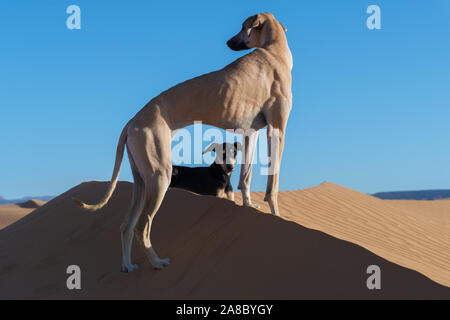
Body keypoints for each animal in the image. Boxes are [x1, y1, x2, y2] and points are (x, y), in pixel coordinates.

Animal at [74, 13, 292, 272]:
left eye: (242, 27)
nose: (228, 42)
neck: (273, 50)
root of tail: (132, 121)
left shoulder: (251, 132)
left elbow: (245, 177)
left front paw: (249, 206)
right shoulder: (277, 130)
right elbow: (273, 183)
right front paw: (276, 214)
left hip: (142, 181)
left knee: (126, 226)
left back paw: (128, 266)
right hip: (160, 176)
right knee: (142, 227)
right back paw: (157, 262)